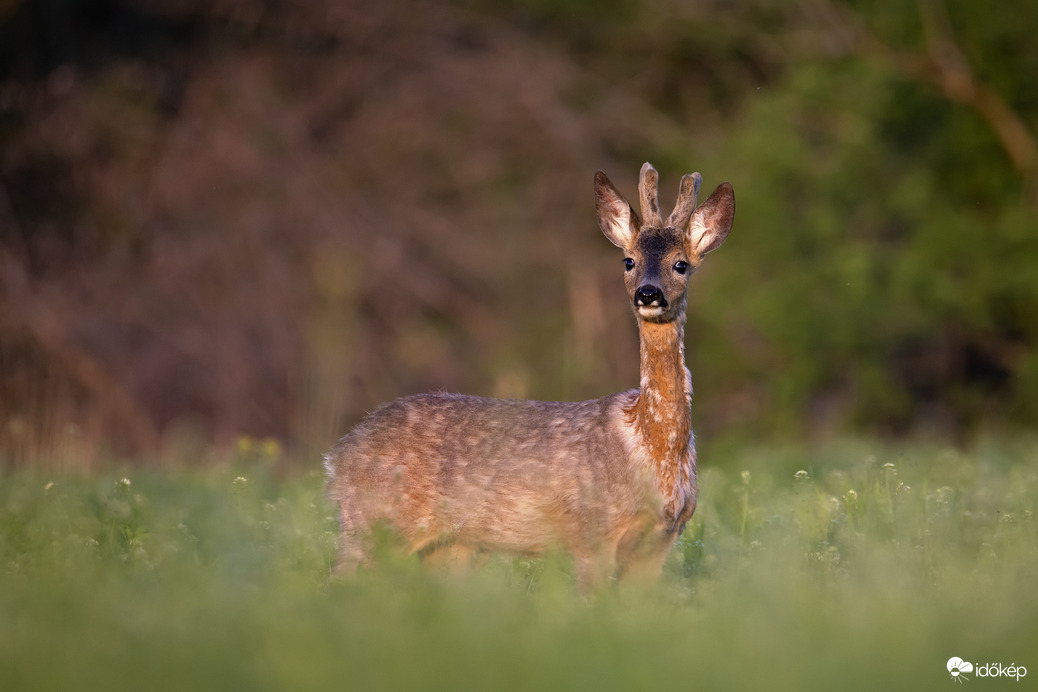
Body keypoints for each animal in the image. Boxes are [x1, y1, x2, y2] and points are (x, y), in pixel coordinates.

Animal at [323, 163, 739, 589]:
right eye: (628, 260)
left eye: (681, 264)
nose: (648, 294)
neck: (651, 447)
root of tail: (337, 456)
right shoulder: (592, 531)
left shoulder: (660, 541)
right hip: (372, 524)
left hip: (451, 548)